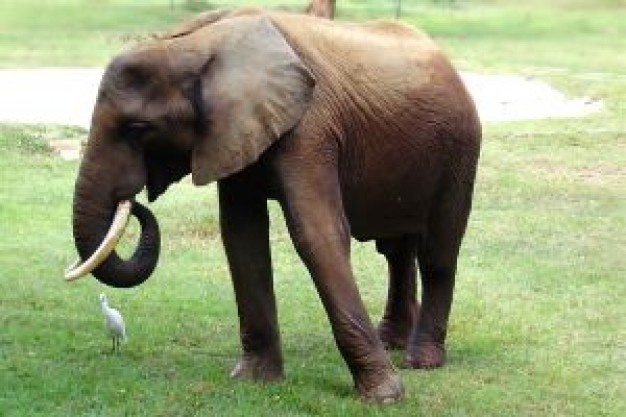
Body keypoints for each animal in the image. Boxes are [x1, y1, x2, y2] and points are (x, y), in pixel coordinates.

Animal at [64, 7, 478, 404]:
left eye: (137, 129)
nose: (135, 203)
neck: (196, 44)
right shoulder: (232, 133)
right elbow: (242, 237)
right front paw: (254, 380)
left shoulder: (310, 127)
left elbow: (317, 235)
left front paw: (384, 397)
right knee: (396, 250)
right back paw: (392, 341)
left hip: (460, 151)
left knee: (437, 254)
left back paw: (421, 361)